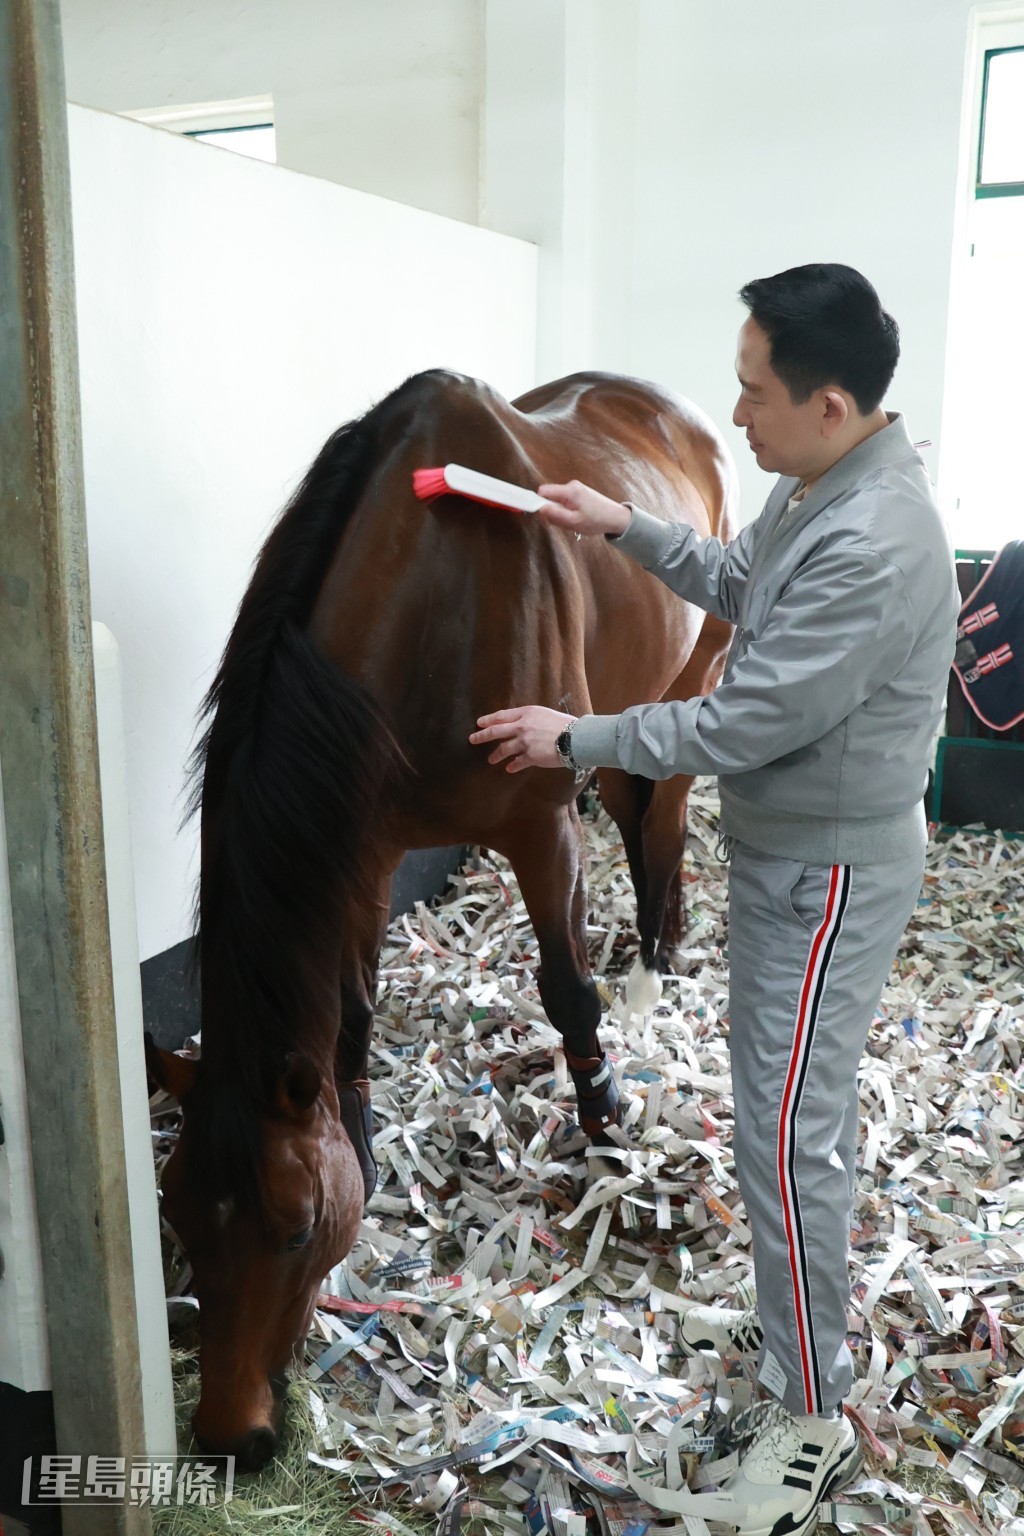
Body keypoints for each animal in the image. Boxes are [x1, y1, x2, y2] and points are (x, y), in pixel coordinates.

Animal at [147, 367, 737, 1471]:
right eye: (177, 1218)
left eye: (296, 1229)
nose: (232, 1437)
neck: (432, 608)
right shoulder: (366, 847)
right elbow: (351, 1015)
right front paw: (366, 1140)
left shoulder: (542, 825)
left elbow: (567, 990)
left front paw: (605, 1131)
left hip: (694, 677)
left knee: (662, 812)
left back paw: (654, 963)